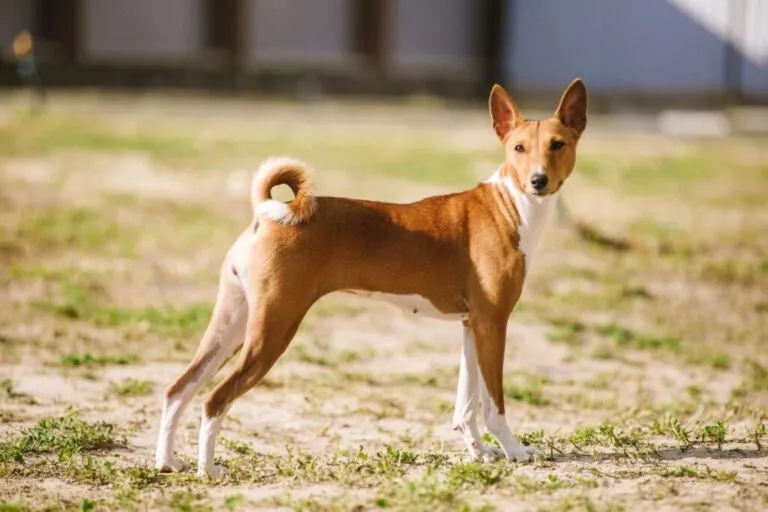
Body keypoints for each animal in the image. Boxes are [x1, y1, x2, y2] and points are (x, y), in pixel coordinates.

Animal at [154, 78, 588, 478]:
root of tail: (269, 215)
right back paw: (207, 471)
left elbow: (465, 405)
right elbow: (494, 403)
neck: (509, 208)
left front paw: (479, 454)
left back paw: (168, 461)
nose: (538, 180)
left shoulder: (472, 325)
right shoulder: (493, 324)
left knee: (179, 389)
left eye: (557, 145)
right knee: (214, 398)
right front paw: (514, 451)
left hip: (233, 323)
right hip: (272, 330)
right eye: (519, 149)